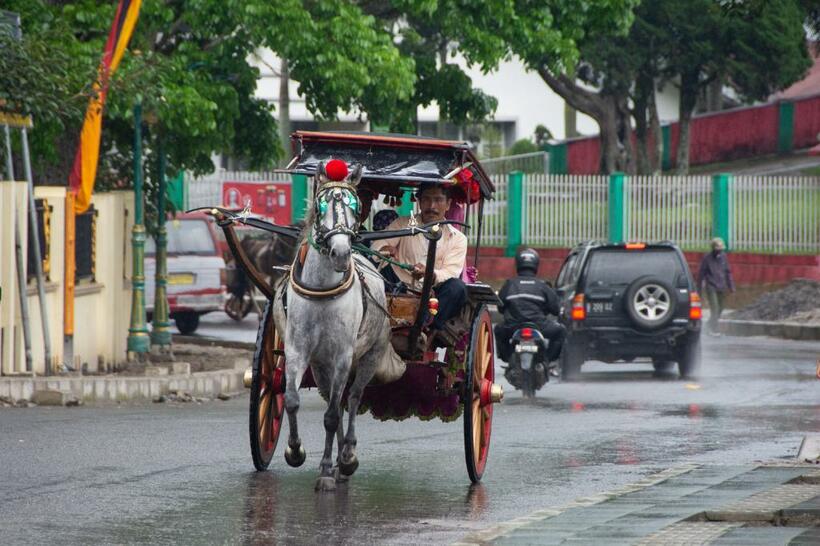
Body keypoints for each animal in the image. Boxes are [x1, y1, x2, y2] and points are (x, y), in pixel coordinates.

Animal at [274, 159, 398, 490]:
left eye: (355, 208)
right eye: (320, 206)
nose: (341, 253)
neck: (322, 292)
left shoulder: (343, 355)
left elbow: (331, 415)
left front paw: (329, 468)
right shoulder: (297, 351)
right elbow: (292, 400)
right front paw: (295, 451)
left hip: (370, 354)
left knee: (351, 398)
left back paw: (347, 456)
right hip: (321, 365)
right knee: (338, 399)